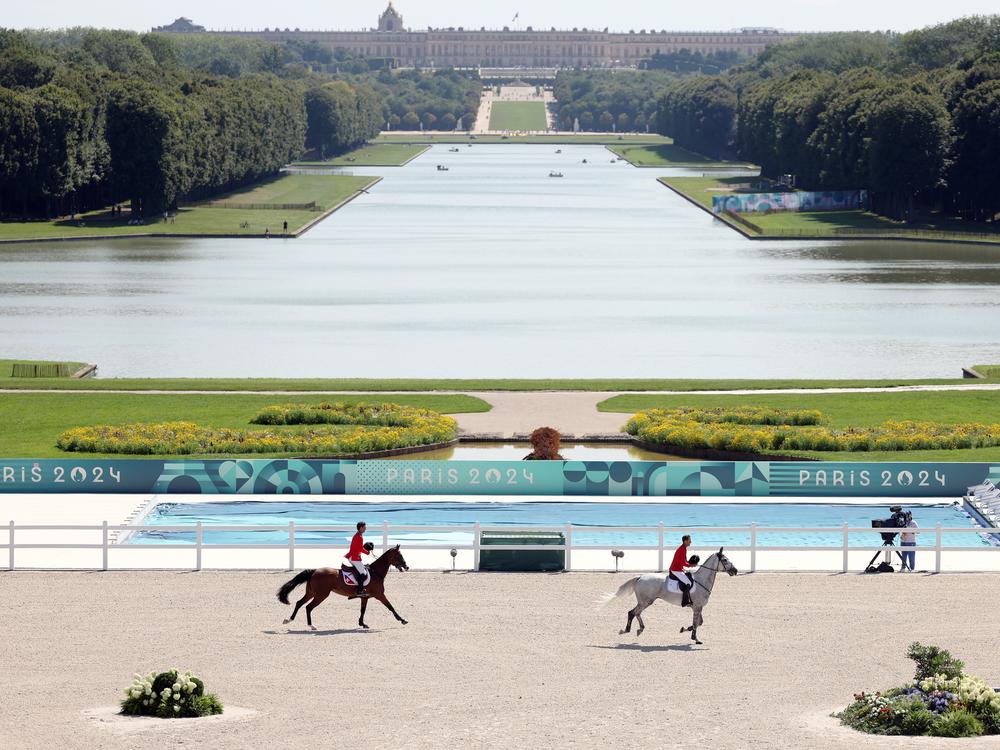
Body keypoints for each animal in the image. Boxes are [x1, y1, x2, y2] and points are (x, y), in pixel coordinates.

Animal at [276, 544, 408, 632]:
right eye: (399, 555)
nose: (406, 567)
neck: (376, 572)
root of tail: (314, 571)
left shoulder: (365, 597)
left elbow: (363, 610)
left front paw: (362, 623)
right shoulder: (380, 595)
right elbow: (390, 607)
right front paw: (402, 620)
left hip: (311, 593)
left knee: (299, 603)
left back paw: (289, 620)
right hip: (321, 595)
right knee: (308, 607)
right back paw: (311, 626)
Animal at [600, 548, 736, 648]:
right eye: (725, 560)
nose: (735, 570)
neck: (701, 581)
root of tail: (640, 577)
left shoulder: (697, 607)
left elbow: (699, 622)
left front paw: (684, 629)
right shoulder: (697, 607)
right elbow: (696, 623)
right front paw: (695, 639)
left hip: (645, 602)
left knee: (636, 613)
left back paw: (640, 629)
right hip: (646, 601)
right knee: (632, 612)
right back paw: (626, 630)